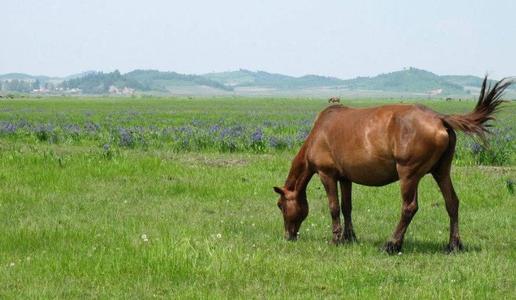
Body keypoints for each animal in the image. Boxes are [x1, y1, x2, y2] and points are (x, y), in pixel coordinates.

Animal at [274, 77, 512, 253]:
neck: (319, 132)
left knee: (409, 207)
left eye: (280, 205)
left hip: (409, 175)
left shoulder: (327, 174)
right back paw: (453, 245)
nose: (288, 236)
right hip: (441, 171)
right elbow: (347, 206)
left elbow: (333, 207)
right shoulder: (345, 178)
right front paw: (349, 237)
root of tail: (439, 118)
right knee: (452, 202)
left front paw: (336, 240)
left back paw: (392, 244)